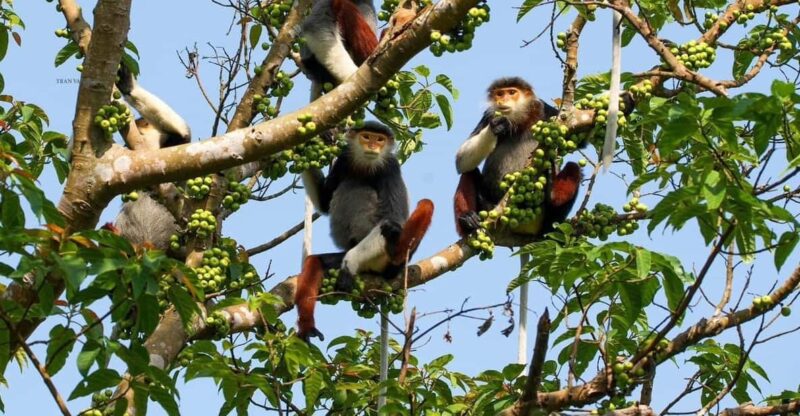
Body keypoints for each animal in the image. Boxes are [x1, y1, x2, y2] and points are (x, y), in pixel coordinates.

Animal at [295, 121, 434, 340]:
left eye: (380, 139)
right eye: (366, 137)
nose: (373, 147)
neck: (365, 166)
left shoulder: (390, 166)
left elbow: (393, 218)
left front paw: (350, 263)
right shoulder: (344, 159)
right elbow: (325, 202)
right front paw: (309, 142)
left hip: (389, 257)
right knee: (314, 261)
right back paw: (307, 326)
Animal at [453, 77, 582, 239]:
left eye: (512, 92)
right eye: (500, 94)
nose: (503, 100)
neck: (520, 121)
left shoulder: (545, 109)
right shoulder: (487, 116)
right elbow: (461, 159)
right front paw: (497, 125)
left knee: (573, 166)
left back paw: (551, 197)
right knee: (468, 172)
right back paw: (468, 222)